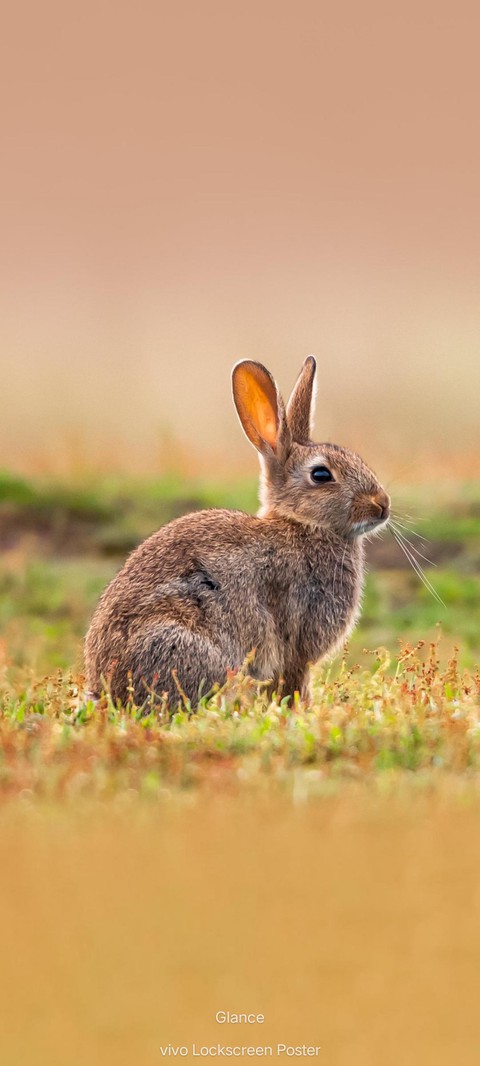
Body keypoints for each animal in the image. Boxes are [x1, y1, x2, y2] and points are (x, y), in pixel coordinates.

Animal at [84, 357, 390, 708]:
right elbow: (292, 682)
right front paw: (300, 710)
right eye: (321, 475)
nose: (382, 504)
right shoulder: (297, 642)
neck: (303, 525)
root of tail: (107, 689)